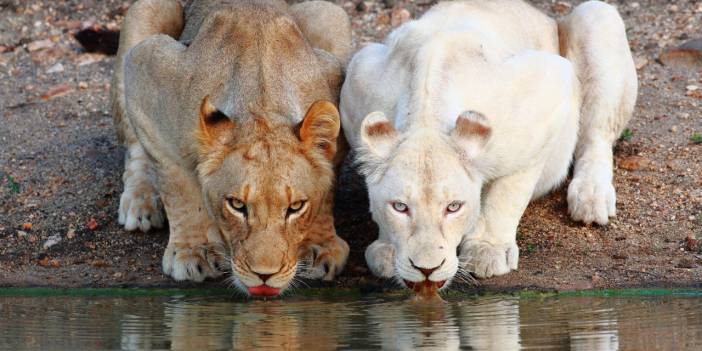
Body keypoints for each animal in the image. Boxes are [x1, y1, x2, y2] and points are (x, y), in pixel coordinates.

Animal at [340, 0, 640, 288]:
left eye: (454, 207)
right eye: (400, 207)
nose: (427, 270)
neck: (426, 114)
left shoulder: (549, 87)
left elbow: (507, 193)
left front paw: (487, 251)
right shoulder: (358, 76)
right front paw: (387, 251)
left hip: (597, 17)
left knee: (597, 136)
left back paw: (591, 197)